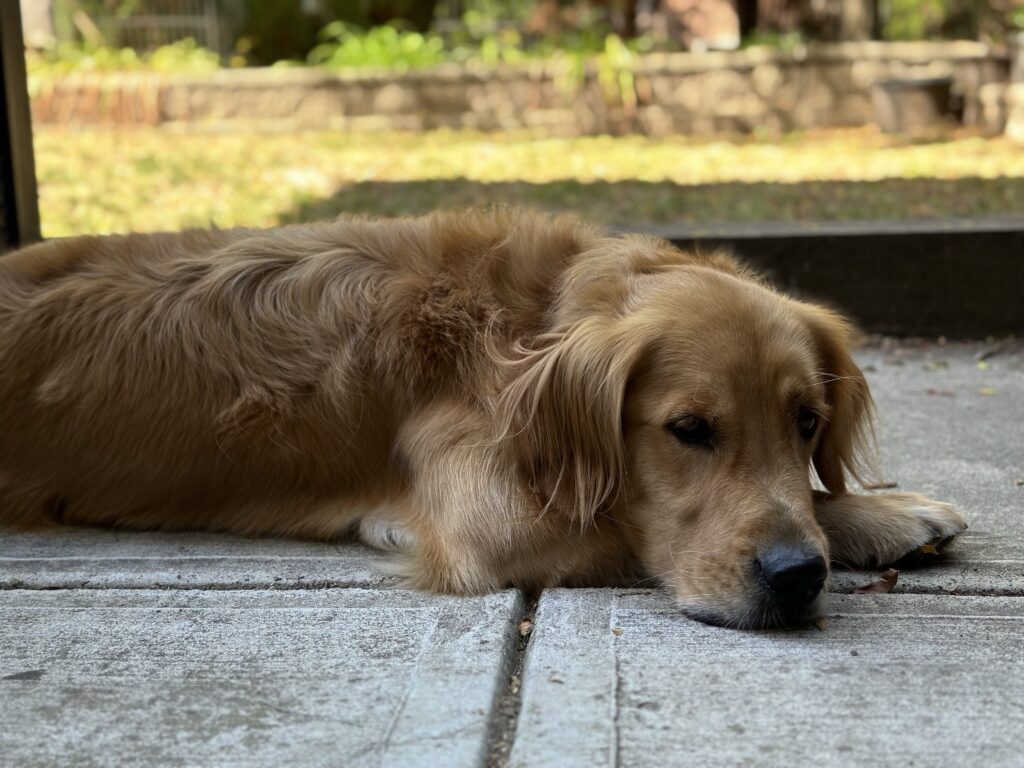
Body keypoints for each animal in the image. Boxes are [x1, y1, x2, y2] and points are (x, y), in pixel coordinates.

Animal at [0, 207, 966, 626]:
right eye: (688, 430)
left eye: (807, 423)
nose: (796, 577)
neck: (527, 320)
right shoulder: (490, 520)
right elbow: (624, 523)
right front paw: (875, 517)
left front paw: (870, 509)